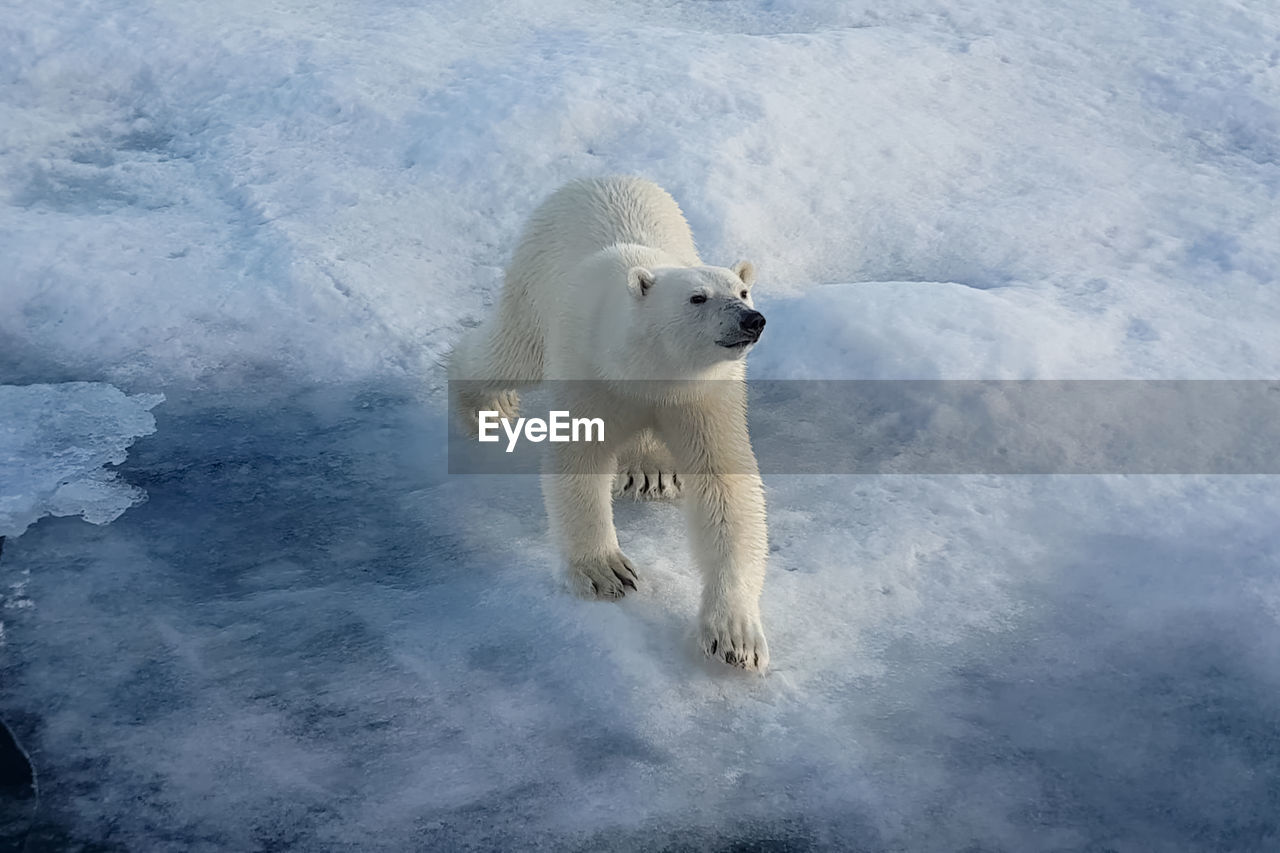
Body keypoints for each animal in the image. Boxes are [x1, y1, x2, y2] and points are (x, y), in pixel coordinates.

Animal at [450, 175, 768, 666]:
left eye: (743, 291)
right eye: (697, 297)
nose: (752, 320)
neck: (647, 367)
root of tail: (597, 178)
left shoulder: (703, 395)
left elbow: (726, 490)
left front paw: (736, 636)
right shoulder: (590, 370)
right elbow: (577, 458)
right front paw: (606, 572)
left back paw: (651, 471)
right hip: (533, 280)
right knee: (507, 353)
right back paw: (486, 405)